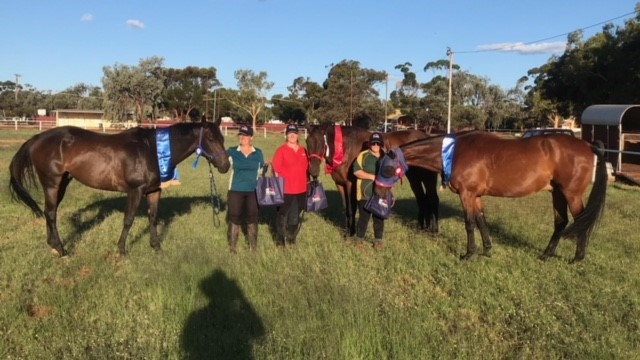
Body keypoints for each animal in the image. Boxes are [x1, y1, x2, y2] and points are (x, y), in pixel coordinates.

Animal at [9, 119, 230, 258]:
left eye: (223, 138)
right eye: (211, 139)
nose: (225, 166)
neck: (151, 150)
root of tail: (37, 138)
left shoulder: (153, 191)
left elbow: (153, 218)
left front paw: (156, 247)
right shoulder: (135, 191)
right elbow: (128, 220)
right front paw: (122, 250)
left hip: (63, 182)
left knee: (50, 212)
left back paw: (53, 246)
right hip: (52, 183)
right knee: (50, 213)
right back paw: (61, 249)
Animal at [306, 122, 440, 238]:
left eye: (321, 142)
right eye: (307, 142)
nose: (313, 171)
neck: (345, 148)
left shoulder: (350, 184)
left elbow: (352, 209)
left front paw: (351, 233)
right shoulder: (340, 184)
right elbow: (346, 209)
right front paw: (347, 232)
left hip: (428, 179)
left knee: (433, 200)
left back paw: (434, 231)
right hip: (414, 179)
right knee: (422, 199)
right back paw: (422, 228)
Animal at [372, 131, 608, 262]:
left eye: (386, 168)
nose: (378, 192)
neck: (454, 153)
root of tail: (588, 145)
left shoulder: (467, 194)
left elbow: (469, 223)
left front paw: (469, 254)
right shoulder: (476, 196)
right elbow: (481, 220)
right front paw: (486, 250)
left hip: (571, 194)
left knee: (581, 221)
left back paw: (577, 258)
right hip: (557, 192)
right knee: (561, 222)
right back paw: (546, 255)